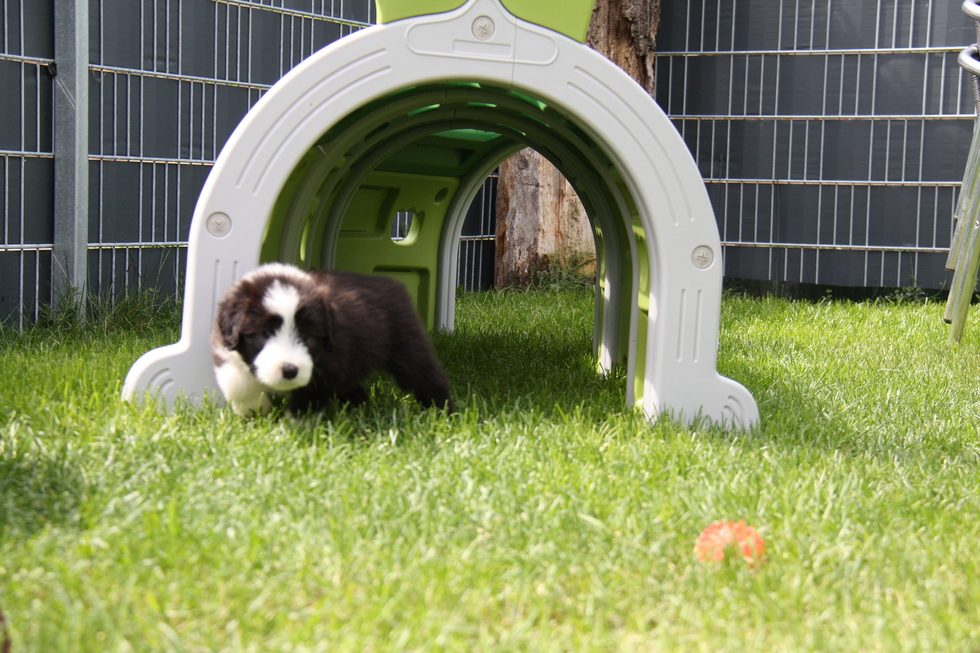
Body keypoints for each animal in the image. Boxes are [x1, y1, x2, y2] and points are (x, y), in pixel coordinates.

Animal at [211, 263, 453, 417]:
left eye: (307, 335)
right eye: (265, 333)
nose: (289, 370)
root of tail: (392, 283)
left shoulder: (327, 368)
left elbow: (306, 401)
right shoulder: (225, 349)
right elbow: (237, 383)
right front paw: (254, 412)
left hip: (407, 347)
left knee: (426, 378)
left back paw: (442, 411)